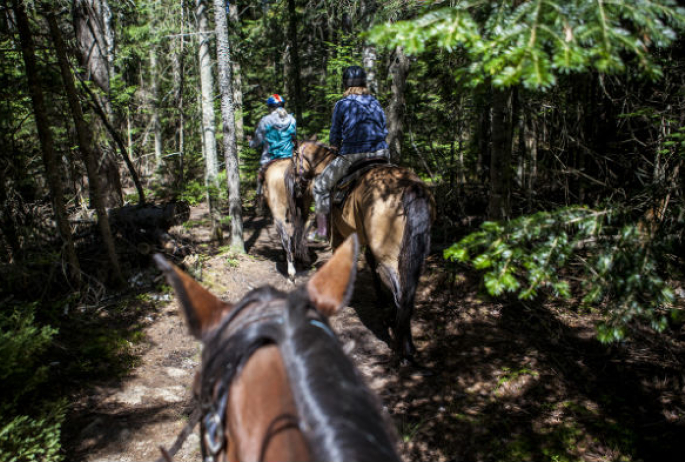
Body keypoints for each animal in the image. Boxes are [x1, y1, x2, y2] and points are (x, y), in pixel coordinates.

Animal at [292, 141, 432, 364]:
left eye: (295, 156)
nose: (297, 188)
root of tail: (410, 187)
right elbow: (370, 264)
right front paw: (380, 299)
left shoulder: (340, 236)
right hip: (413, 255)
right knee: (408, 292)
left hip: (388, 255)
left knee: (401, 293)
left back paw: (402, 348)